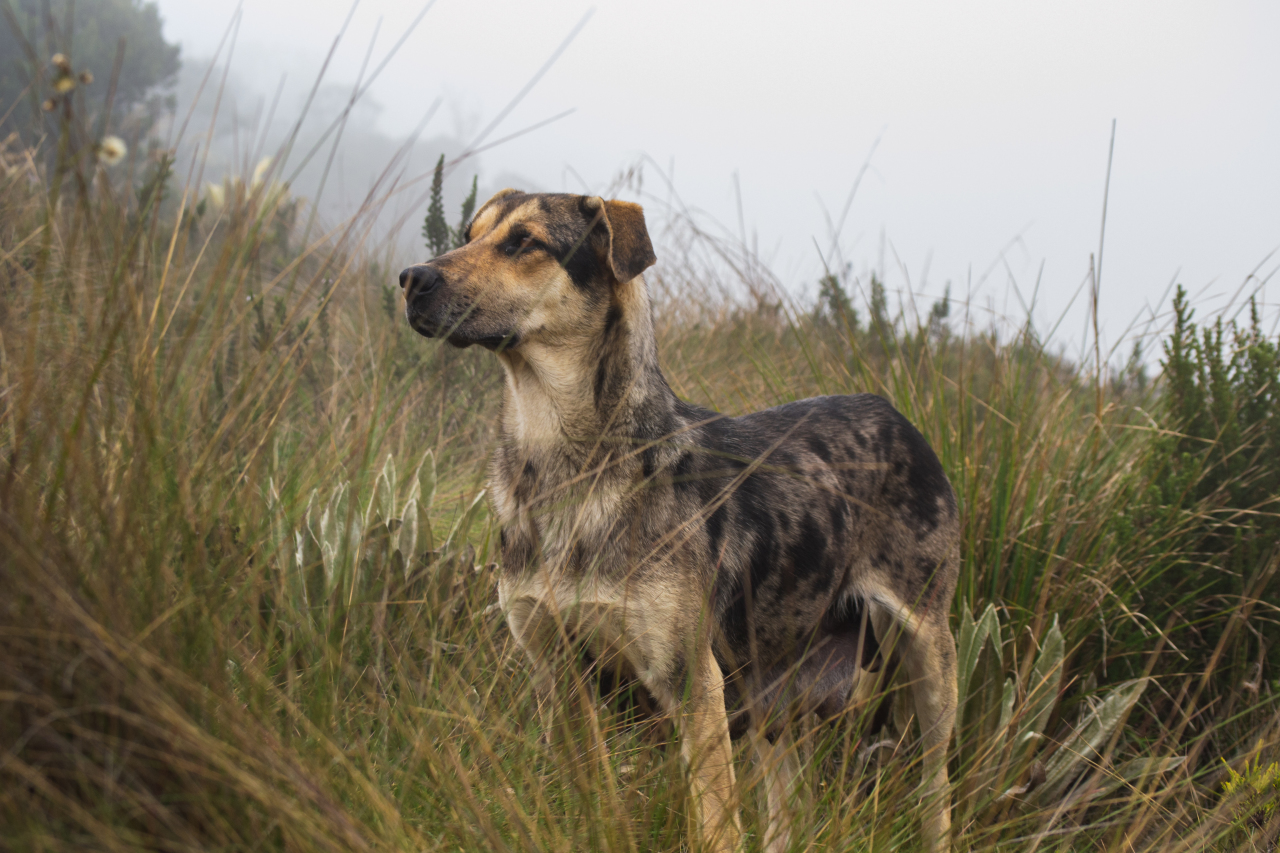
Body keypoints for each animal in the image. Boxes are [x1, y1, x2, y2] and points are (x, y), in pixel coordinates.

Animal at [399, 190, 962, 850]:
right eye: (469, 236)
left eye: (523, 243)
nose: (411, 279)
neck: (562, 462)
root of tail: (894, 413)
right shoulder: (558, 675)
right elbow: (596, 801)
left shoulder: (693, 683)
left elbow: (716, 827)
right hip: (775, 691)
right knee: (788, 806)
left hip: (928, 658)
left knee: (936, 790)